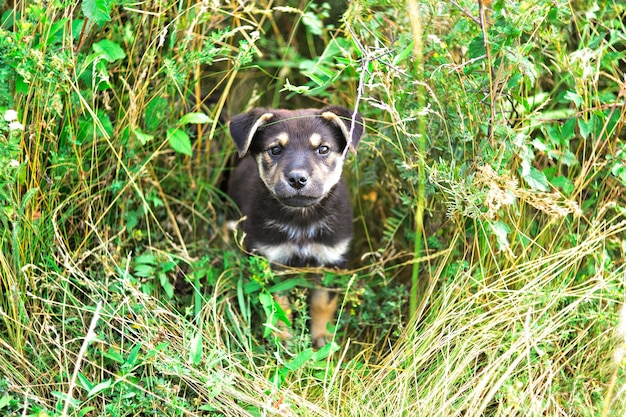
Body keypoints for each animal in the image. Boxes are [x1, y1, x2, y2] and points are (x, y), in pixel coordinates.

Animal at [227, 105, 364, 346]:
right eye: (275, 150)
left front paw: (322, 338)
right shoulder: (272, 260)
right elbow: (278, 306)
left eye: (323, 149)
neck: (302, 221)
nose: (297, 179)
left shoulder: (332, 260)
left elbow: (323, 303)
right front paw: (283, 339)